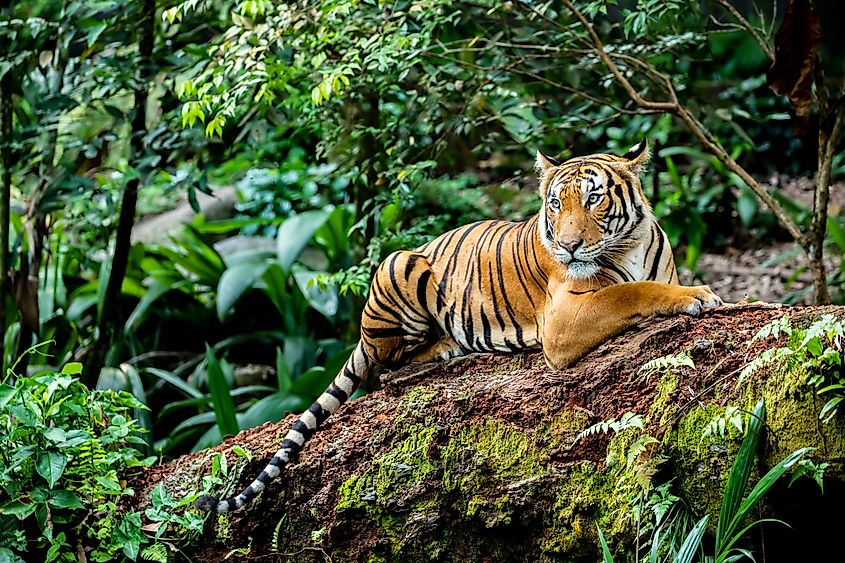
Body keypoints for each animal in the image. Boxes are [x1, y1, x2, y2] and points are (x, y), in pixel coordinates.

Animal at [194, 139, 723, 513]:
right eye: (556, 204)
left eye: (594, 199)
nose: (569, 245)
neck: (628, 245)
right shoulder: (565, 316)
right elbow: (629, 292)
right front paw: (698, 296)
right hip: (400, 266)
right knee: (386, 366)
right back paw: (442, 349)